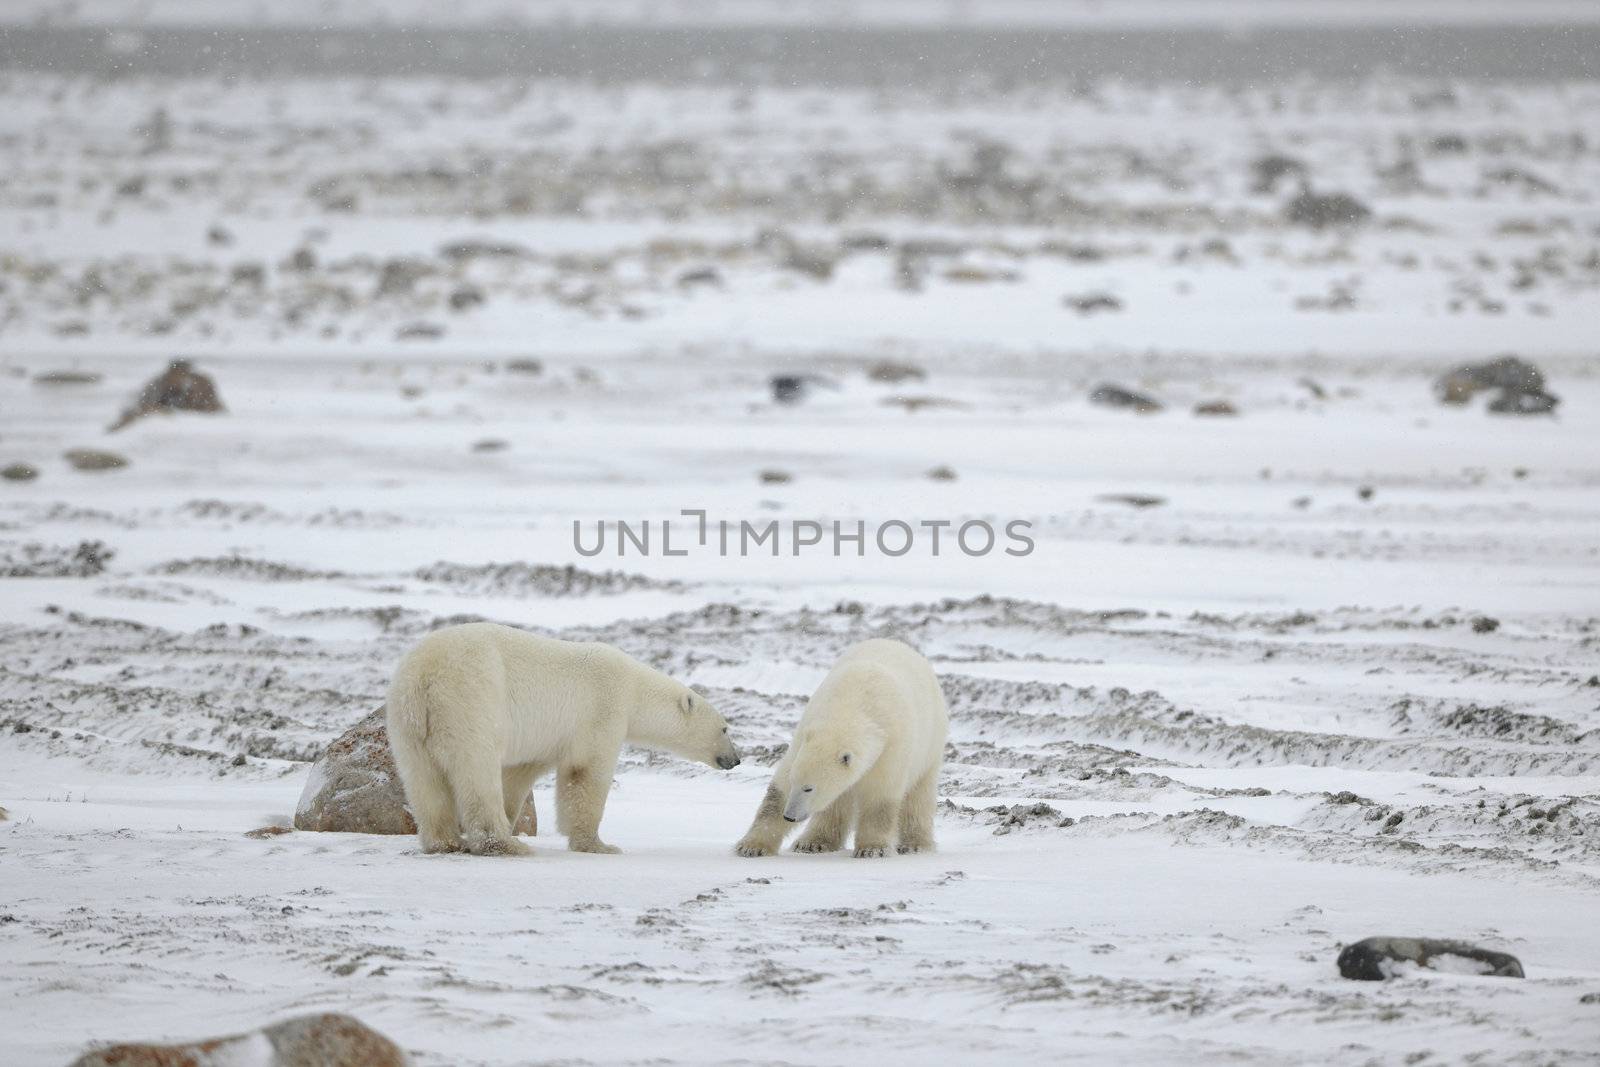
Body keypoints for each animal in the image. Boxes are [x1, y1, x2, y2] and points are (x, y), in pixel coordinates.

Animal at [387, 617, 742, 857]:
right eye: (725, 728)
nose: (736, 759)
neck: (635, 689)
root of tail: (424, 677)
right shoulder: (602, 707)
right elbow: (586, 772)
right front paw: (598, 845)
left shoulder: (545, 738)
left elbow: (520, 774)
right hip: (472, 700)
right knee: (477, 770)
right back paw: (504, 844)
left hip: (408, 724)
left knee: (423, 780)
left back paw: (444, 842)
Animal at [732, 643, 940, 857]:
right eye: (794, 782)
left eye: (809, 788)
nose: (789, 816)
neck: (850, 707)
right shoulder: (805, 731)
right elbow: (779, 789)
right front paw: (752, 846)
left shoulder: (891, 747)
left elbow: (879, 798)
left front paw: (871, 849)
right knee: (837, 803)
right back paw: (812, 842)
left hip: (930, 746)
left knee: (919, 796)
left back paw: (915, 844)